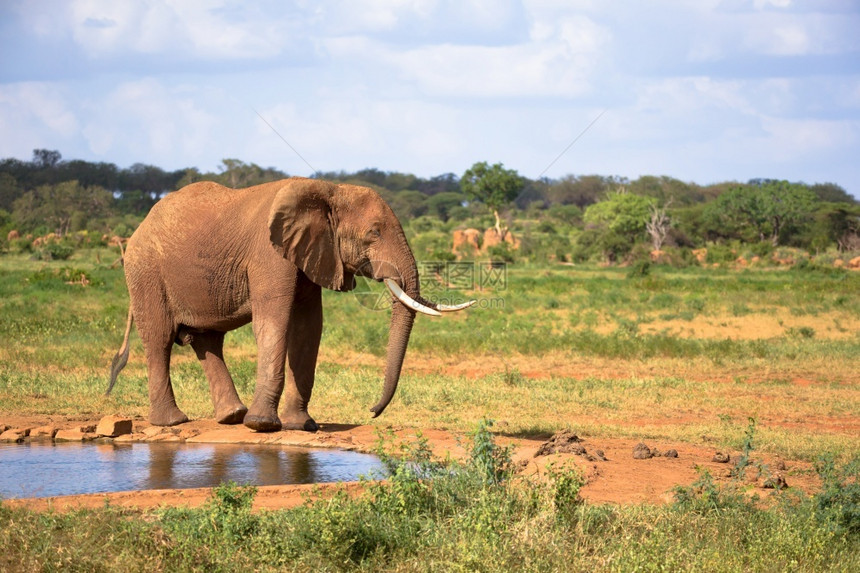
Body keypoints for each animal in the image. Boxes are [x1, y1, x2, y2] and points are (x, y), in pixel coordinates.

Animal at [108, 177, 474, 432]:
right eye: (374, 232)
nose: (372, 411)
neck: (328, 189)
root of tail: (138, 228)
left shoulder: (313, 253)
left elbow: (308, 327)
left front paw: (301, 426)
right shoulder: (269, 255)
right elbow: (274, 321)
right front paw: (263, 426)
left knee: (207, 339)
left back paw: (232, 417)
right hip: (145, 272)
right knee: (160, 339)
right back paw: (172, 422)